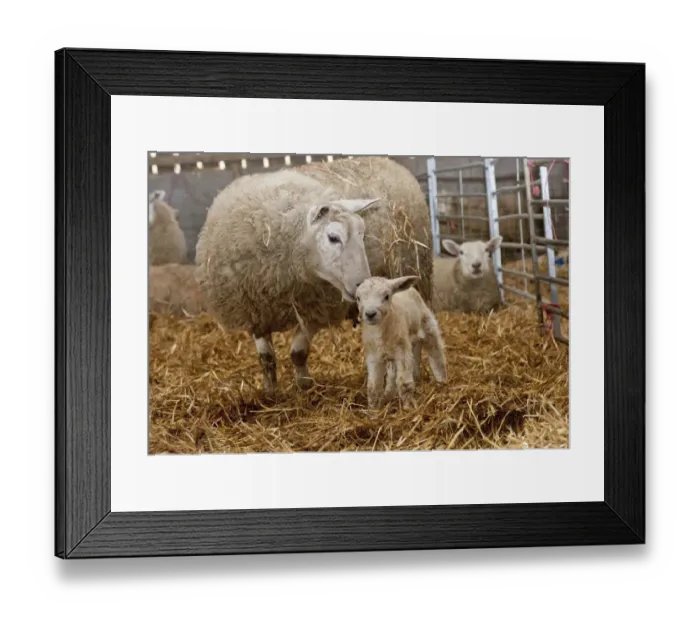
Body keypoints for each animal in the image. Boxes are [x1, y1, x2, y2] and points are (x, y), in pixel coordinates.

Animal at [194, 156, 433, 395]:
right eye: (333, 237)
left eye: (363, 234)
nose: (363, 284)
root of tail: (388, 161)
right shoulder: (255, 309)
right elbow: (266, 358)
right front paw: (270, 392)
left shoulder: (316, 309)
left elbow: (297, 353)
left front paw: (305, 387)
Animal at [355, 275, 447, 409]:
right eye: (358, 298)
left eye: (386, 296)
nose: (370, 314)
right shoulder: (373, 356)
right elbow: (373, 388)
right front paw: (373, 410)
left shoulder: (402, 352)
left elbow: (404, 384)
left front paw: (408, 408)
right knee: (394, 375)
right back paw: (389, 394)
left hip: (428, 327)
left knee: (436, 355)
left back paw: (442, 383)